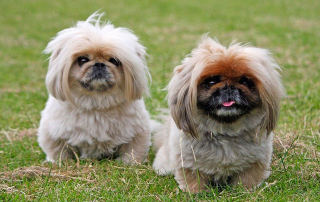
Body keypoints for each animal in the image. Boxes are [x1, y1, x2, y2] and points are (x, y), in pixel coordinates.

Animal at [37, 12, 151, 163]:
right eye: (82, 60)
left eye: (114, 61)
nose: (99, 64)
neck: (96, 102)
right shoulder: (52, 132)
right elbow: (58, 150)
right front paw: (60, 162)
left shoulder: (138, 132)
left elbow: (133, 150)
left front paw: (129, 163)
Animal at [153, 36, 284, 193]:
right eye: (211, 81)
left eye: (245, 81)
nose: (229, 87)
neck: (225, 131)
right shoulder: (188, 162)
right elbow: (193, 179)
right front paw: (195, 192)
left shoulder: (256, 162)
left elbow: (248, 177)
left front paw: (247, 190)